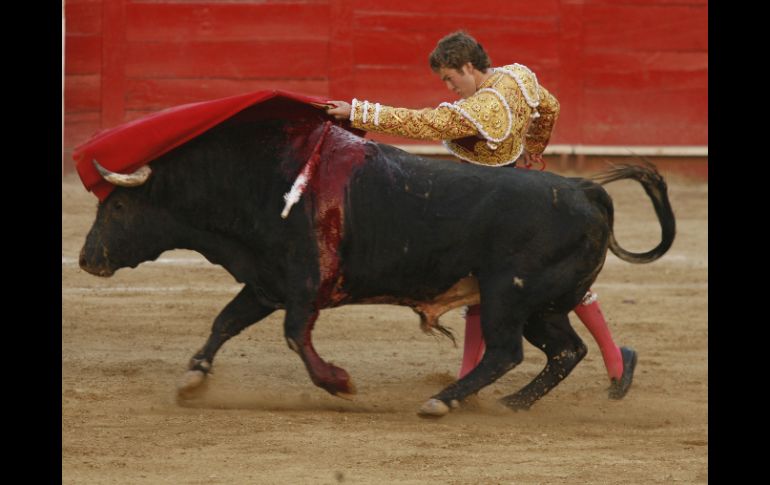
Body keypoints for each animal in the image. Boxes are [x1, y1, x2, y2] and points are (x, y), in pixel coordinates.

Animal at [78, 114, 672, 416]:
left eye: (119, 206)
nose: (86, 259)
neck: (254, 181)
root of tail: (584, 189)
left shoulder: (302, 285)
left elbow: (294, 335)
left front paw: (338, 382)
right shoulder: (265, 283)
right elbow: (224, 322)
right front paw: (192, 381)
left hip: (509, 294)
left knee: (507, 351)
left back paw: (444, 400)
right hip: (541, 304)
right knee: (563, 350)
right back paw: (511, 403)